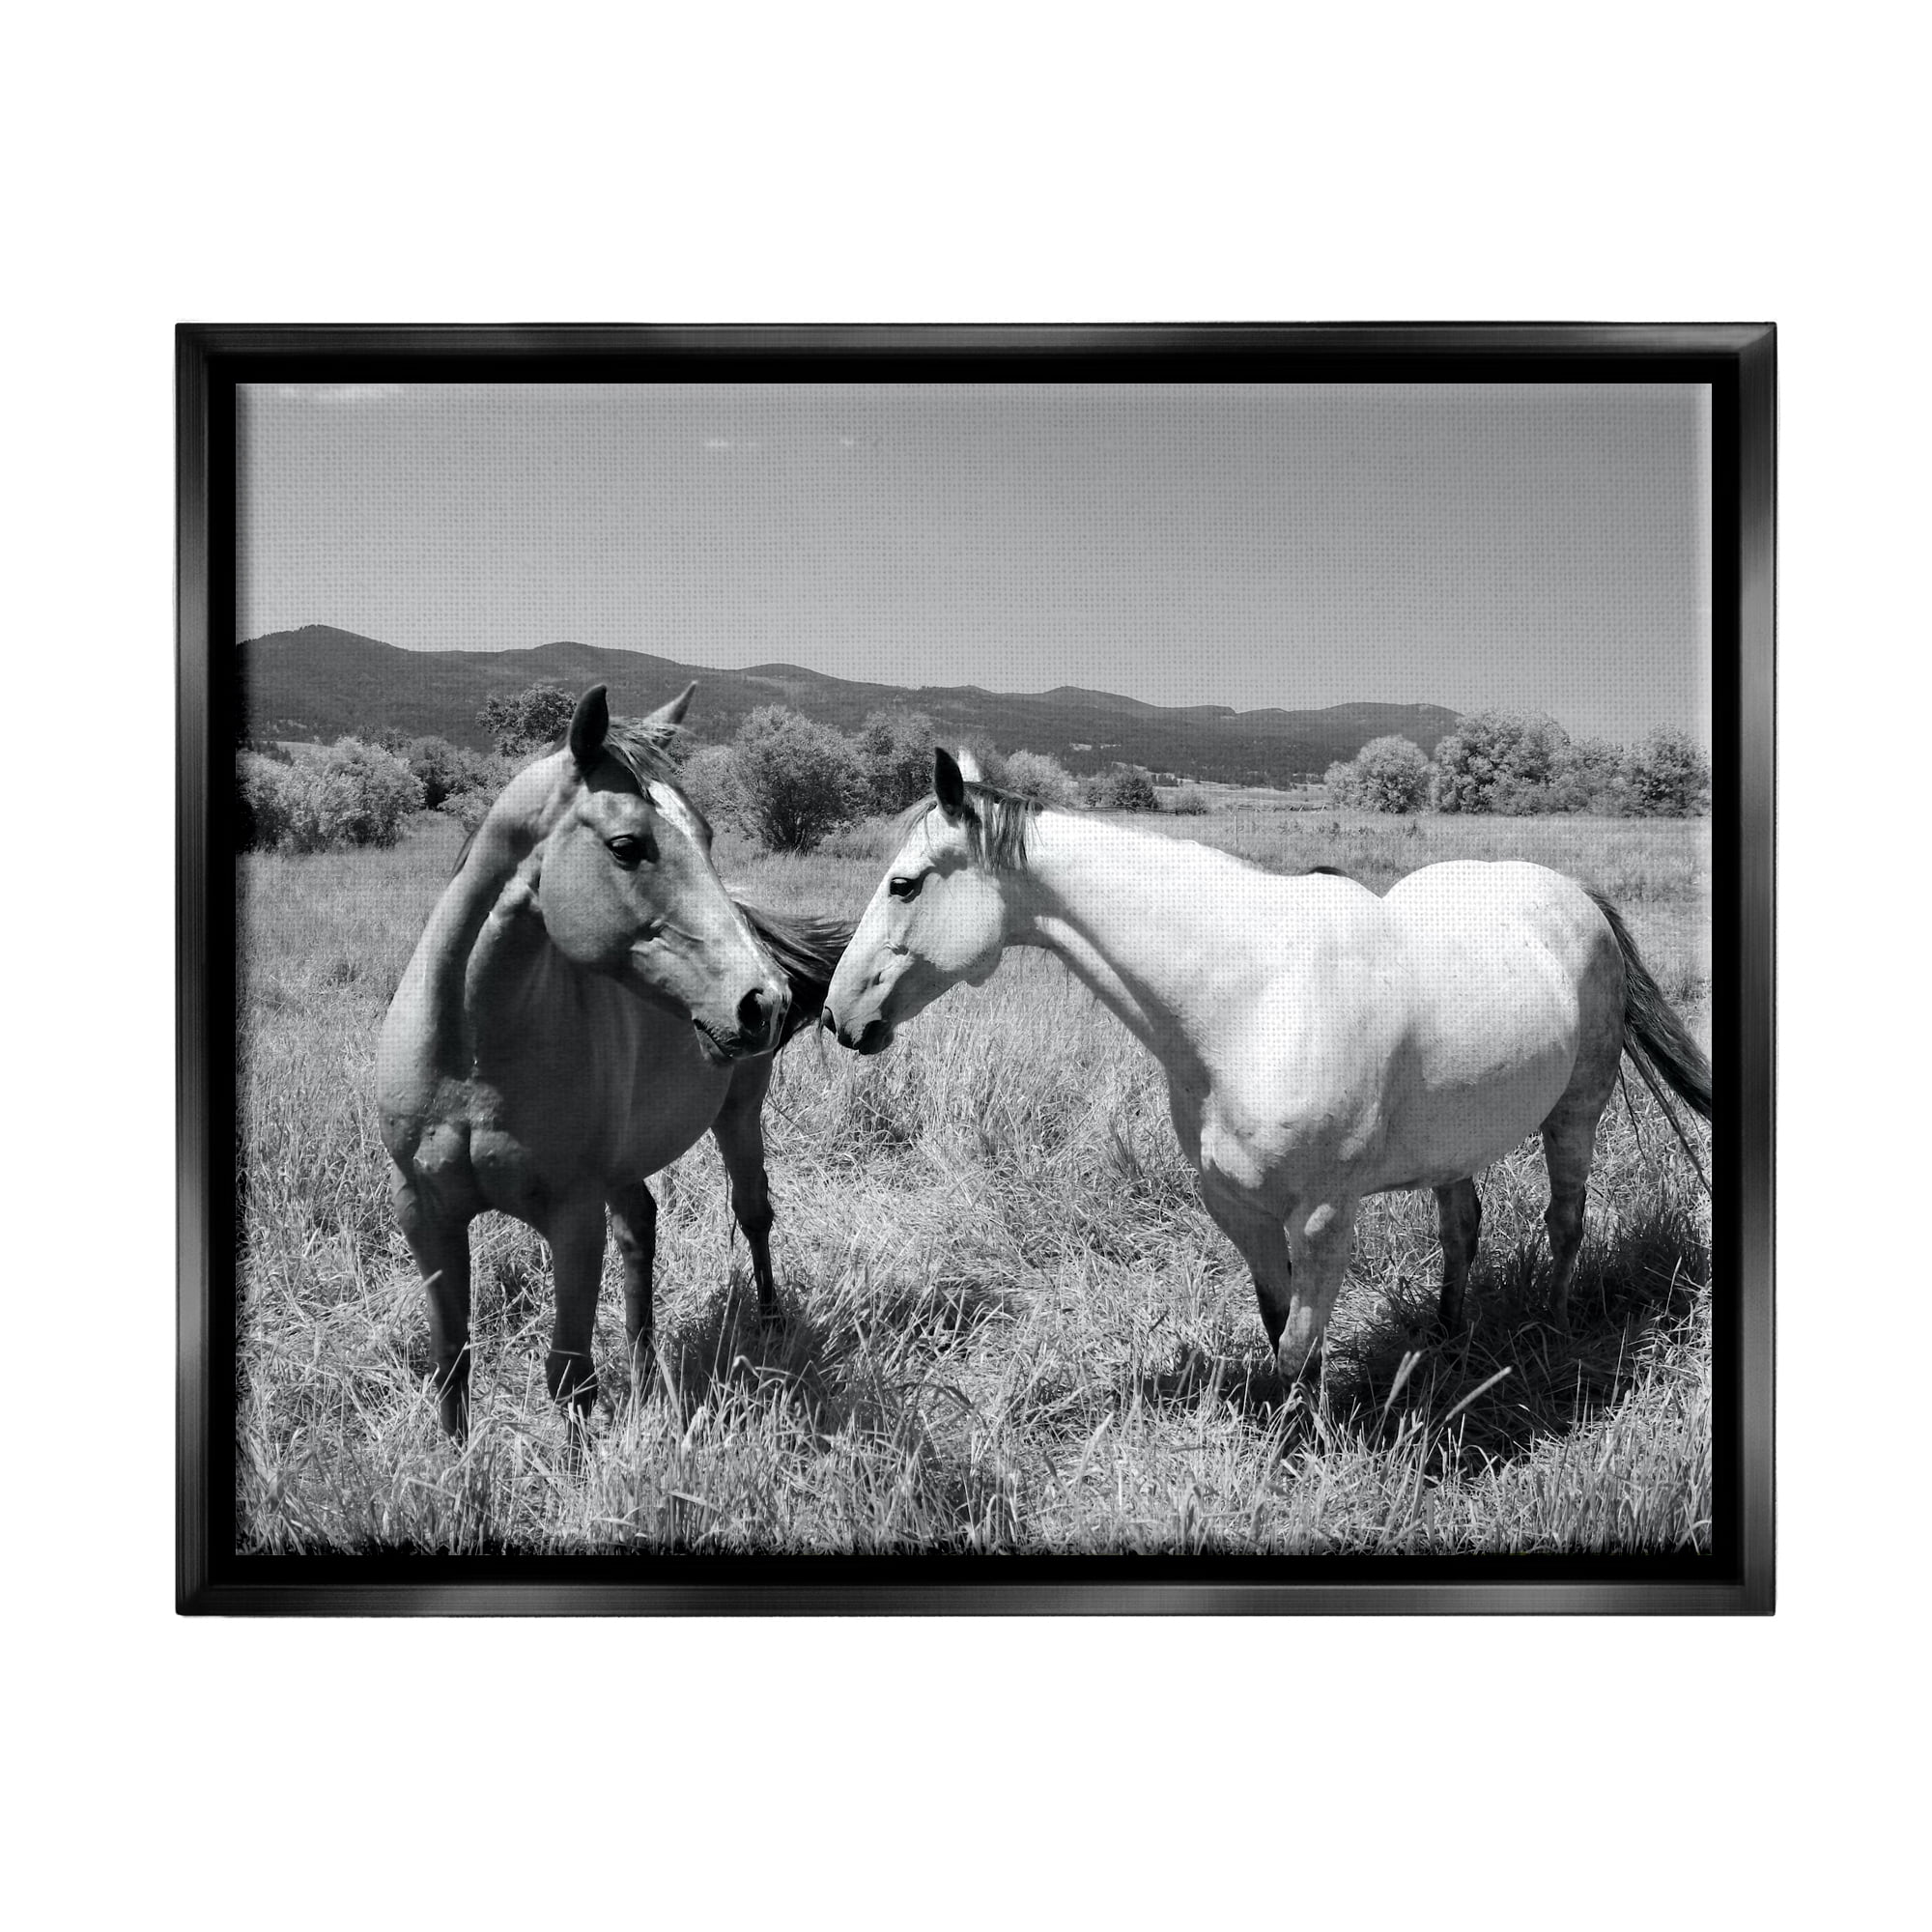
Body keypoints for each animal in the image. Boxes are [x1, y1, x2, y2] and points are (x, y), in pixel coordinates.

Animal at [376, 683, 852, 1438]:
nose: (763, 1002)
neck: (469, 1063)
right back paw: (646, 1368)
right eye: (627, 846)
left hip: (738, 1117)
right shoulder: (423, 1211)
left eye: (708, 835)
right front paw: (452, 1467)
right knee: (642, 1230)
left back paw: (772, 1327)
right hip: (624, 1164)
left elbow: (569, 1375)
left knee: (753, 1213)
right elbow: (450, 1360)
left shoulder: (573, 1217)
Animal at [822, 749, 1711, 1381]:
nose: (837, 1016)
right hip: (1456, 1141)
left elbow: (1297, 1353)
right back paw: (1448, 1338)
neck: (1251, 999)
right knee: (1462, 1229)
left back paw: (1552, 1330)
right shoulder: (1237, 1209)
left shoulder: (1322, 1217)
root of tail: (1576, 897)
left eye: (903, 884)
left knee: (1566, 1223)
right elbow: (1279, 1328)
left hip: (1576, 1115)